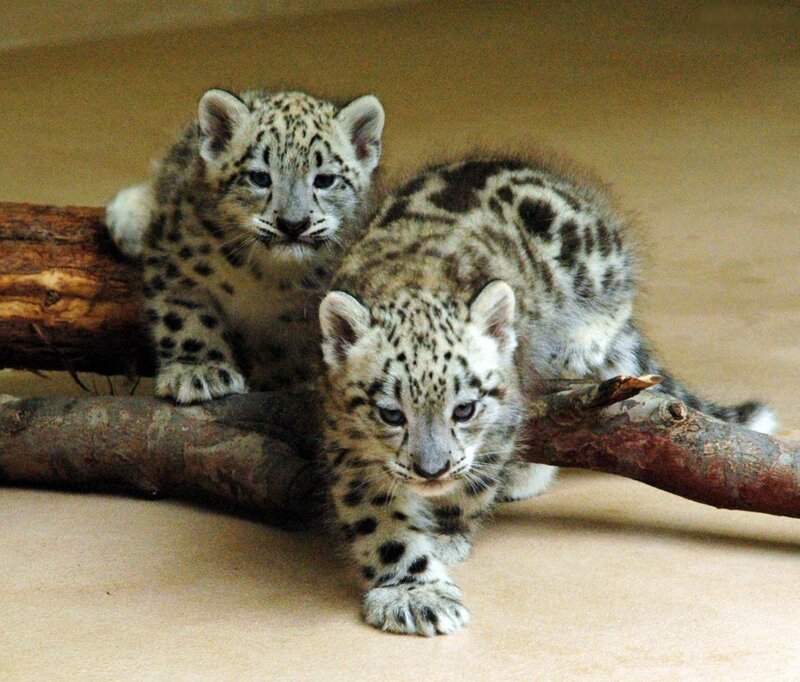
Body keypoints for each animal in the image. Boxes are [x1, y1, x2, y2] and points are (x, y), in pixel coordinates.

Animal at [106, 88, 384, 403]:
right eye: (259, 177)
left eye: (325, 180)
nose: (293, 224)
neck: (263, 276)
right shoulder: (174, 261)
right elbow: (184, 316)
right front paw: (199, 371)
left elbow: (296, 345)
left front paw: (284, 379)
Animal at [318, 154, 777, 636]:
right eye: (391, 414)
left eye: (465, 410)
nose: (432, 470)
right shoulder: (348, 445)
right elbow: (379, 522)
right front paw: (413, 593)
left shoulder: (499, 426)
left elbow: (473, 485)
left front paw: (445, 535)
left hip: (582, 243)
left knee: (620, 286)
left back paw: (582, 340)